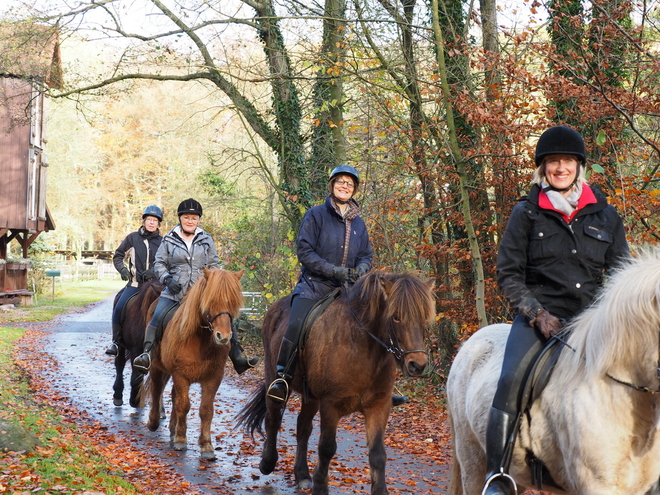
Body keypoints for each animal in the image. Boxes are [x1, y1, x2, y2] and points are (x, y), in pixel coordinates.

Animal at [111, 280, 162, 408]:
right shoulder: (136, 350)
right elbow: (136, 377)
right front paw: (136, 400)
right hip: (120, 346)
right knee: (120, 364)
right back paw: (118, 395)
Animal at [235, 272, 436, 495]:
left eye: (424, 317)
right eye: (396, 316)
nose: (417, 365)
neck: (362, 348)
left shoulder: (378, 406)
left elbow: (377, 454)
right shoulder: (331, 405)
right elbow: (327, 448)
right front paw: (321, 487)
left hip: (311, 396)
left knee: (303, 426)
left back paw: (302, 475)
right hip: (274, 378)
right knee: (273, 418)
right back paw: (267, 463)